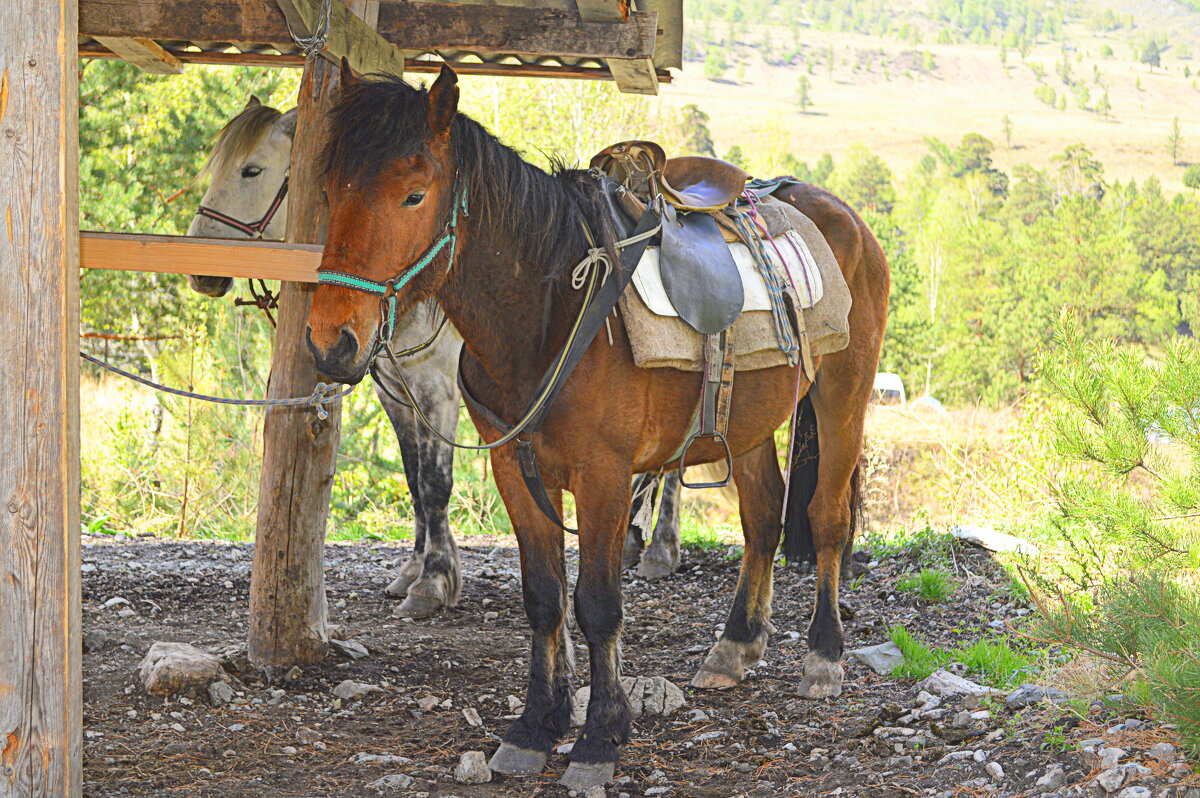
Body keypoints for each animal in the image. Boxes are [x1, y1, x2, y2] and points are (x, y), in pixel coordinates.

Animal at [307, 63, 892, 792]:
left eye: (414, 194)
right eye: (328, 191)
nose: (331, 341)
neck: (551, 313)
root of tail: (843, 216)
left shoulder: (605, 476)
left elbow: (598, 605)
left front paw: (599, 739)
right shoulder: (515, 469)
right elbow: (544, 598)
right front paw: (535, 727)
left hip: (844, 398)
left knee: (827, 518)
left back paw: (823, 655)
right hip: (750, 425)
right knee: (762, 518)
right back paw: (734, 646)